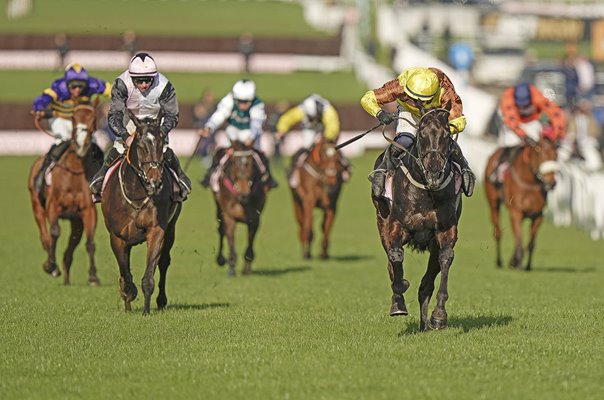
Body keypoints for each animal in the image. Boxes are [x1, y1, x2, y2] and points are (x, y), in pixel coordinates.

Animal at [27, 103, 103, 284]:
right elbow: (54, 232)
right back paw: (53, 266)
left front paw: (93, 276)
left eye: (94, 119)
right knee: (45, 237)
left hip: (76, 221)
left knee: (72, 243)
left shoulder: (88, 211)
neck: (73, 173)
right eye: (74, 118)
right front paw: (51, 266)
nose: (81, 144)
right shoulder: (53, 206)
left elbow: (90, 242)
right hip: (37, 205)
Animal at [101, 111, 182, 312]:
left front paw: (146, 311)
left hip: (171, 228)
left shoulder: (157, 230)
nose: (155, 181)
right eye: (140, 145)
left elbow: (149, 275)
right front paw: (128, 297)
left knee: (163, 262)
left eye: (161, 145)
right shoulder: (117, 236)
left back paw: (161, 301)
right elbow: (125, 271)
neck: (136, 193)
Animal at [214, 142, 268, 276]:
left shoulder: (255, 218)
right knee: (221, 230)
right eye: (234, 162)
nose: (244, 194)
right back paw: (221, 259)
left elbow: (250, 242)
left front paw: (246, 268)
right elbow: (230, 238)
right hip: (219, 209)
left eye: (251, 163)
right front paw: (231, 267)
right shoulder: (229, 216)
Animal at [372, 102, 462, 332]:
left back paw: (424, 324)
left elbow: (446, 259)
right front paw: (398, 301)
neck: (426, 190)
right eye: (422, 133)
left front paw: (439, 316)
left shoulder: (445, 230)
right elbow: (395, 258)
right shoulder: (397, 226)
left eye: (447, 134)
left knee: (426, 283)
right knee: (391, 261)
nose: (434, 171)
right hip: (381, 222)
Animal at [484, 138, 560, 272]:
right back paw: (499, 261)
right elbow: (519, 240)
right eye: (539, 154)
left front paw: (527, 265)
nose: (551, 183)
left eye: (556, 156)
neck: (529, 183)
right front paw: (515, 261)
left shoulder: (538, 216)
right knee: (498, 232)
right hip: (493, 204)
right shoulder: (516, 213)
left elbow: (531, 243)